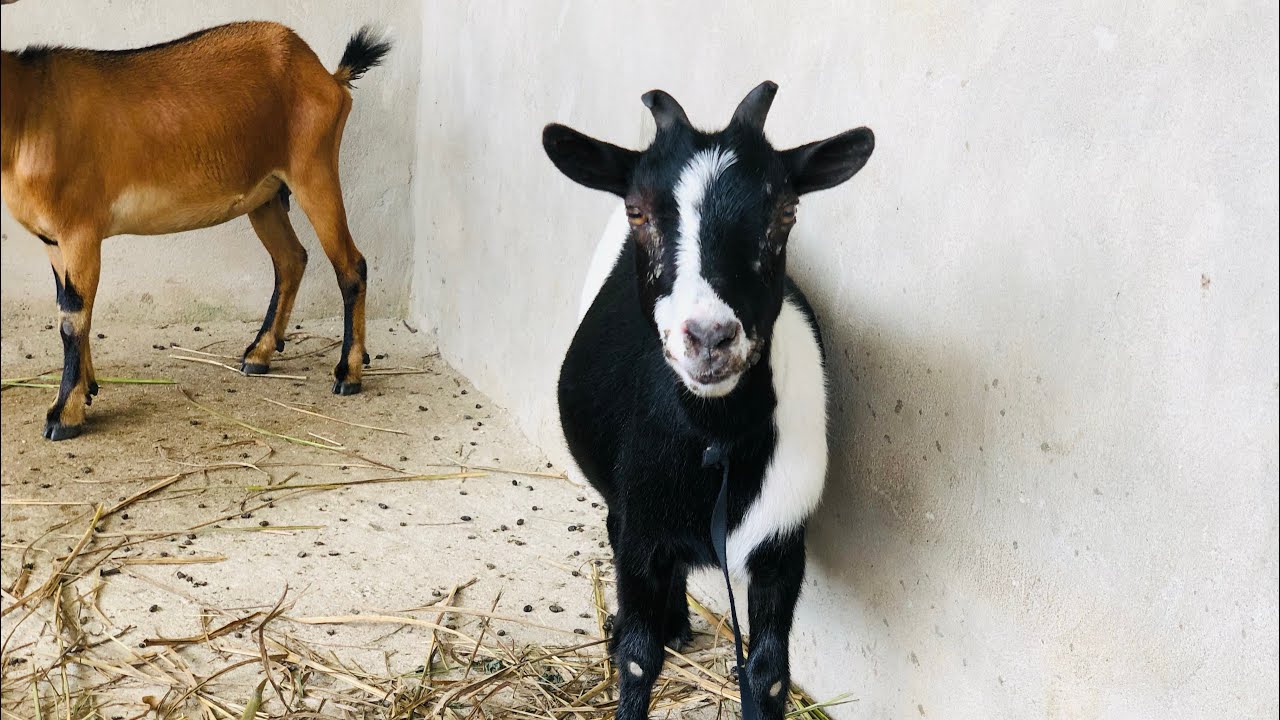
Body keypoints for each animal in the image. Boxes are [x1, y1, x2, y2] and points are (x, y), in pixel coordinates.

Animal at [0, 18, 390, 440]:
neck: (27, 114)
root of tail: (328, 76)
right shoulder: (54, 240)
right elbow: (70, 308)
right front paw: (87, 389)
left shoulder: (80, 231)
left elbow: (73, 318)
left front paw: (63, 415)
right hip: (266, 197)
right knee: (291, 259)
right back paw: (259, 354)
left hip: (313, 171)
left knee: (351, 265)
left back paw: (348, 374)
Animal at [544, 82, 874, 719]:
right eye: (638, 211)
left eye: (786, 212)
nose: (710, 336)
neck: (715, 436)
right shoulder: (643, 531)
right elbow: (638, 660)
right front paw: (634, 647)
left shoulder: (781, 546)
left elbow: (768, 673)